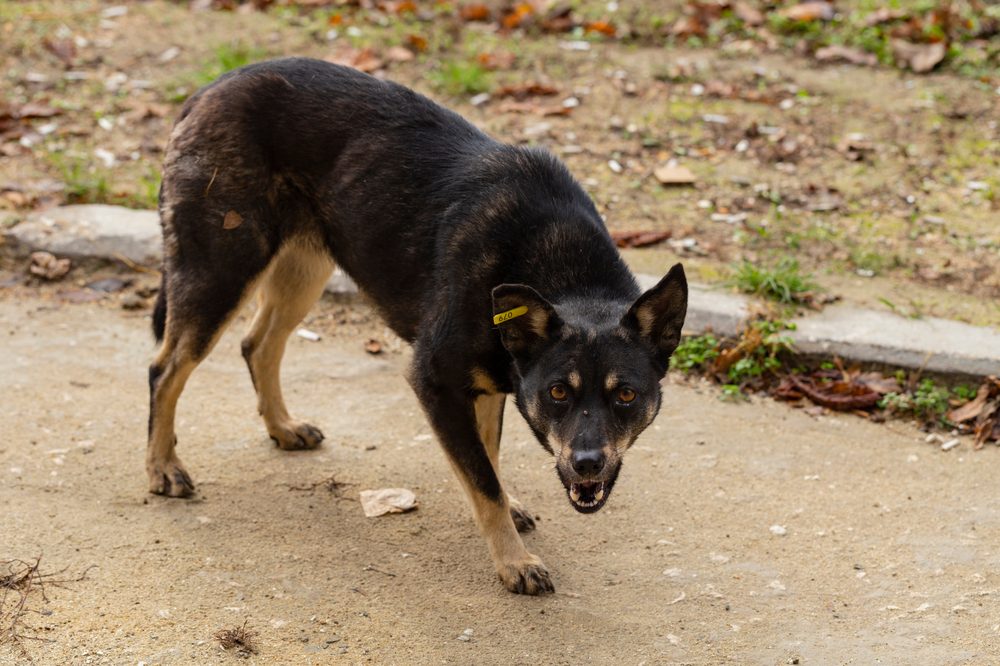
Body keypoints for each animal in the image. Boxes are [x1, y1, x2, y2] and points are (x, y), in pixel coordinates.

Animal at [150, 57, 688, 592]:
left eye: (626, 395)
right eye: (558, 392)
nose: (587, 463)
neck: (560, 270)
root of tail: (209, 88)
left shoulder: (487, 384)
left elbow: (488, 459)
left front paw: (509, 517)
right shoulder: (436, 382)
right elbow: (483, 480)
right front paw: (513, 560)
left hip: (303, 271)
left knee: (257, 344)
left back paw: (282, 427)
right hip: (222, 269)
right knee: (166, 368)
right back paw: (163, 468)